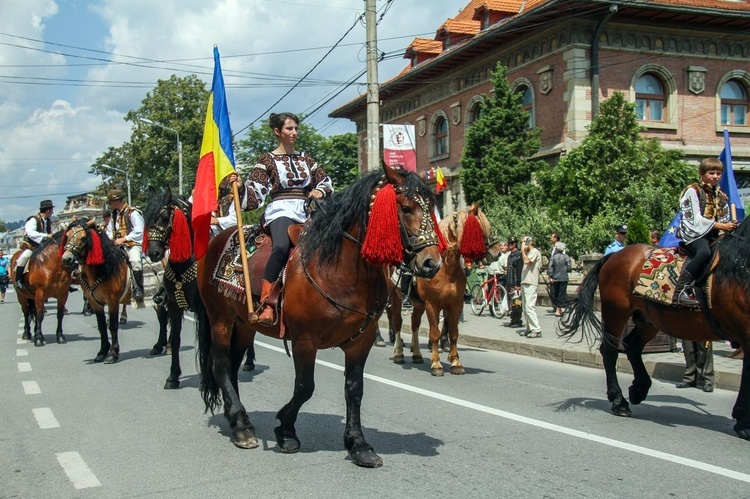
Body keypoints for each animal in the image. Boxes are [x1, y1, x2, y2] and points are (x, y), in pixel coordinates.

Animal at [61, 221, 134, 366]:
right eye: (67, 235)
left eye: (84, 238)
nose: (67, 259)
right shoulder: (95, 302)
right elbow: (102, 326)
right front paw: (102, 352)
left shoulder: (112, 301)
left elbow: (113, 325)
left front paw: (113, 354)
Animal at [143, 188, 212, 390]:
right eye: (146, 217)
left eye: (165, 217)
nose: (153, 253)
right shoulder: (174, 305)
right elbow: (175, 339)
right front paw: (173, 376)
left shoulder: (203, 310)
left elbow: (205, 342)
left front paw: (207, 379)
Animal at [194, 165, 450, 468]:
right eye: (407, 208)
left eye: (432, 208)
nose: (431, 263)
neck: (339, 269)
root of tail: (216, 240)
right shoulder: (305, 341)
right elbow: (305, 386)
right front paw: (286, 431)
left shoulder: (360, 341)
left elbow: (354, 389)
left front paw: (358, 445)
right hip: (220, 319)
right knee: (221, 365)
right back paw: (242, 428)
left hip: (244, 324)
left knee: (232, 365)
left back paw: (237, 418)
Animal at [390, 206, 502, 376]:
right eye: (478, 228)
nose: (498, 252)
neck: (447, 269)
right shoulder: (432, 304)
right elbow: (435, 333)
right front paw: (436, 364)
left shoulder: (455, 304)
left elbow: (453, 333)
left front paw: (456, 363)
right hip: (396, 298)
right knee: (397, 322)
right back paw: (398, 353)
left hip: (418, 304)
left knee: (415, 323)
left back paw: (417, 354)